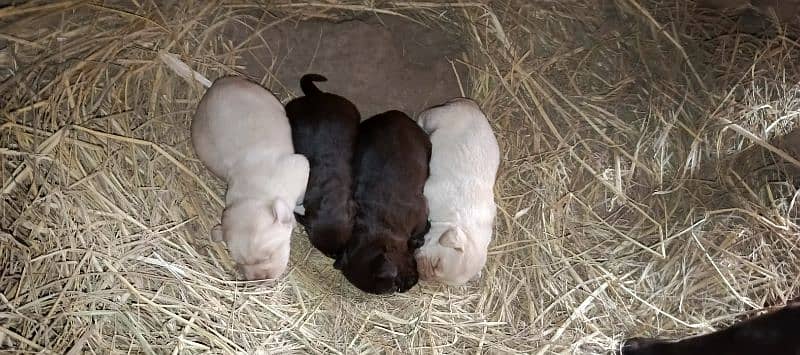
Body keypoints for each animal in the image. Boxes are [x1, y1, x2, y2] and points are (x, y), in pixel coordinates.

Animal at [191, 77, 310, 280]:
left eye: (267, 256)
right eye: (240, 262)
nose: (259, 281)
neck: (258, 195)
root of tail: (215, 85)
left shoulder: (302, 166)